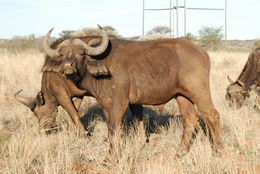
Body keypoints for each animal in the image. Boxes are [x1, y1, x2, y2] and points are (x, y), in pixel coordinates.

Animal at [18, 27, 222, 157]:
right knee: (190, 121)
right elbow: (110, 129)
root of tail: (201, 51)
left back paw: (218, 151)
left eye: (81, 53)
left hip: (199, 91)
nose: (68, 67)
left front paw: (111, 157)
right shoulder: (106, 105)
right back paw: (180, 153)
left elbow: (114, 129)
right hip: (182, 96)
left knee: (211, 115)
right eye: (62, 54)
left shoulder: (119, 104)